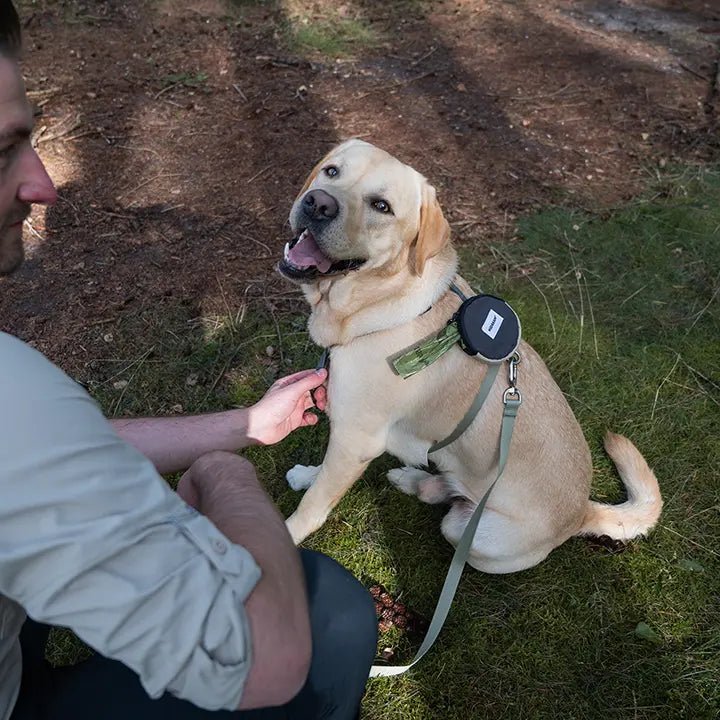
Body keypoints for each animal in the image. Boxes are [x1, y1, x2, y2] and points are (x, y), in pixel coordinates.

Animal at [278, 138, 660, 572]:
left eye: (382, 206)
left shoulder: (356, 439)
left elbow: (314, 505)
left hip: (468, 534)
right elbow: (323, 476)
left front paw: (287, 535)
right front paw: (308, 475)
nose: (318, 204)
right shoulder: (345, 438)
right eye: (331, 172)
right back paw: (414, 479)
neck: (374, 306)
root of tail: (582, 511)